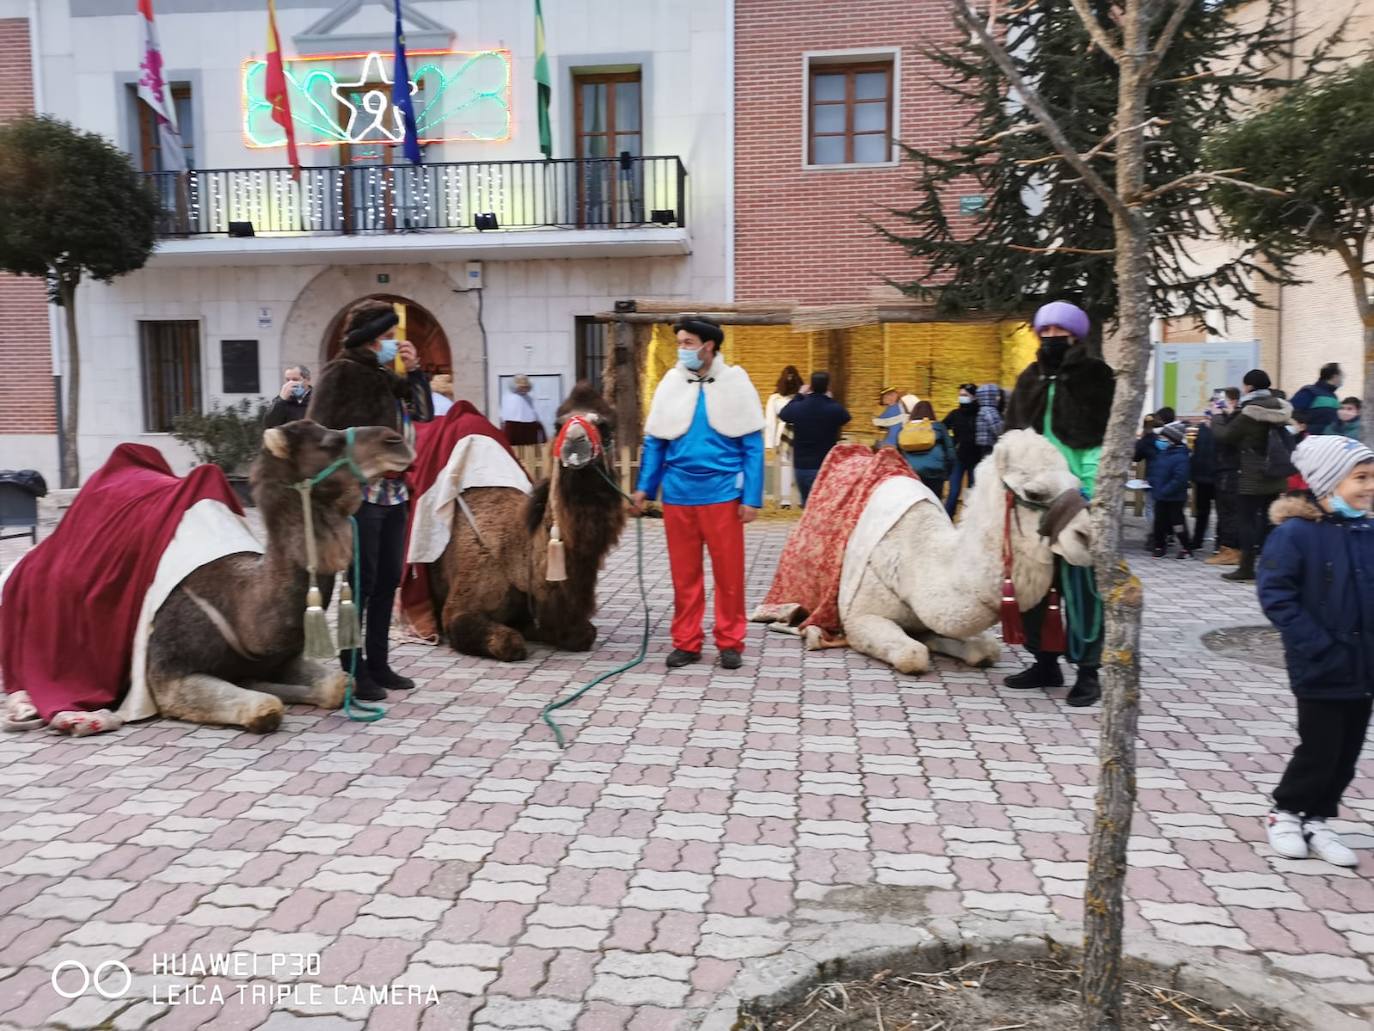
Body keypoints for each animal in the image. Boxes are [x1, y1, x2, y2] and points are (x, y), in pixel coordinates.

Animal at [144, 420, 414, 736]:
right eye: (329, 443)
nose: (395, 440)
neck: (238, 606)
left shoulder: (283, 658)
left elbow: (338, 684)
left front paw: (256, 681)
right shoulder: (168, 674)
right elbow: (266, 708)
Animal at [431, 384, 629, 662]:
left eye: (605, 426)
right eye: (558, 425)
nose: (575, 441)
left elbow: (583, 634)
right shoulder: (458, 608)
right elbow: (509, 643)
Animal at [829, 428, 1088, 679]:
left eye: (1077, 487)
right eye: (1033, 493)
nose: (1085, 536)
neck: (913, 561)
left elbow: (986, 649)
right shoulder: (858, 617)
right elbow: (912, 655)